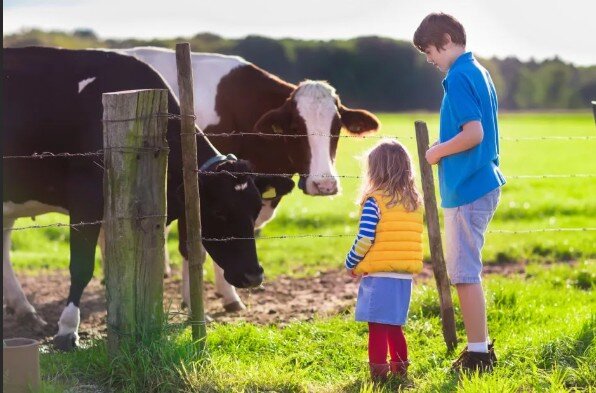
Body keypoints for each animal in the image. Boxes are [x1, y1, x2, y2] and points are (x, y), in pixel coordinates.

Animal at [3, 46, 292, 350]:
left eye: (256, 208)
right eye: (219, 211)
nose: (253, 275)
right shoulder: (86, 198)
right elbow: (81, 267)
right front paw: (68, 330)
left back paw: (23, 308)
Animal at [120, 46, 382, 310]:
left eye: (336, 128)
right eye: (295, 128)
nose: (324, 184)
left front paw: (229, 295)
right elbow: (194, 247)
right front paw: (196, 301)